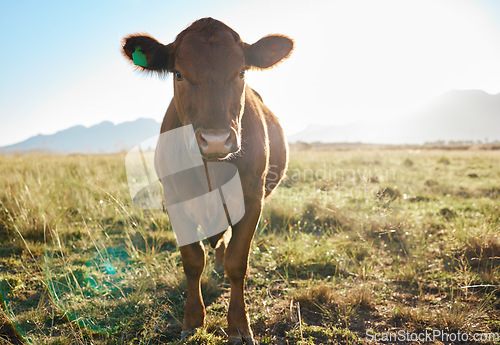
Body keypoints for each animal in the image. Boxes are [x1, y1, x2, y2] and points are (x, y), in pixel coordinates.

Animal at [122, 17, 292, 342]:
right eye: (178, 73)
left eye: (241, 72)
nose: (215, 140)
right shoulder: (174, 199)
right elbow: (192, 261)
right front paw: (192, 319)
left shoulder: (252, 199)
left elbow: (237, 262)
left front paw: (239, 325)